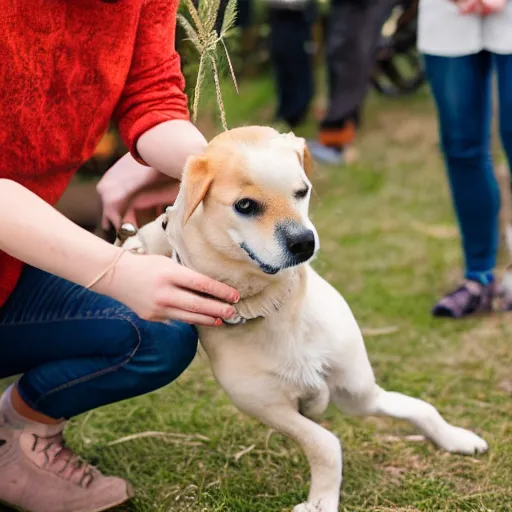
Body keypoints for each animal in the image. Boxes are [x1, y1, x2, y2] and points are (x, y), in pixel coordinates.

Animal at [117, 126, 488, 510]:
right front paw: (322, 500)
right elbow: (324, 444)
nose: (304, 243)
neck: (272, 305)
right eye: (244, 205)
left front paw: (455, 437)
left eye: (302, 191)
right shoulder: (270, 407)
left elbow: (419, 407)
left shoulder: (357, 392)